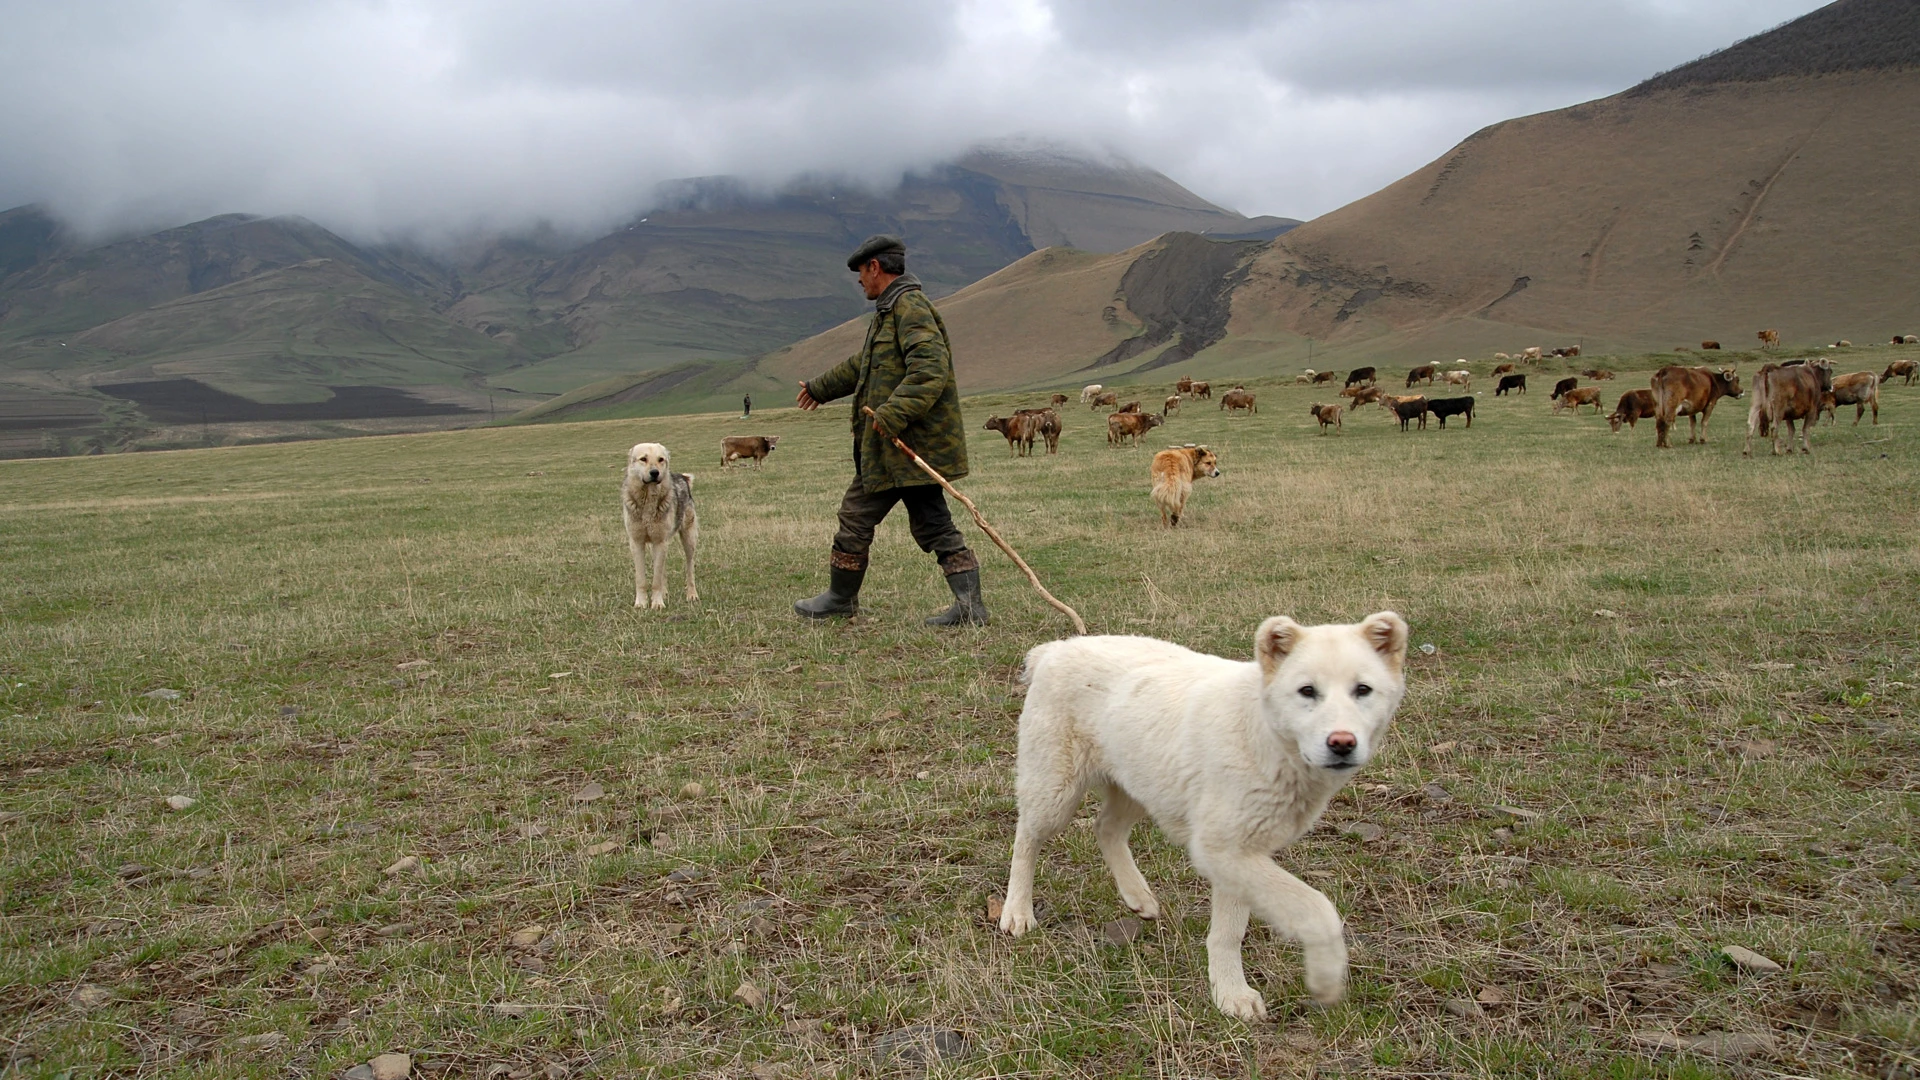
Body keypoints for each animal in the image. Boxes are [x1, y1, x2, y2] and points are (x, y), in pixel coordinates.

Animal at [622, 438, 698, 607]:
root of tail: (682, 477)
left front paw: (657, 604)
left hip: (688, 540)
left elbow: (656, 580)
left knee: (689, 568)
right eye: (643, 459)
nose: (655, 473)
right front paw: (641, 604)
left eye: (660, 459)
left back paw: (692, 595)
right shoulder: (637, 543)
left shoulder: (660, 541)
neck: (648, 503)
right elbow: (641, 579)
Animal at [1006, 611, 1413, 1014]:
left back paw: (1137, 896)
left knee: (1105, 828)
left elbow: (1230, 930)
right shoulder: (1221, 849)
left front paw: (1229, 991)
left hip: (1141, 782)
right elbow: (1317, 909)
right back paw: (1017, 912)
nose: (1342, 744)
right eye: (1307, 691)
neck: (1263, 734)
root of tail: (1055, 649)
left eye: (1363, 690)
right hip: (1055, 793)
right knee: (1026, 838)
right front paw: (1320, 978)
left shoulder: (1241, 854)